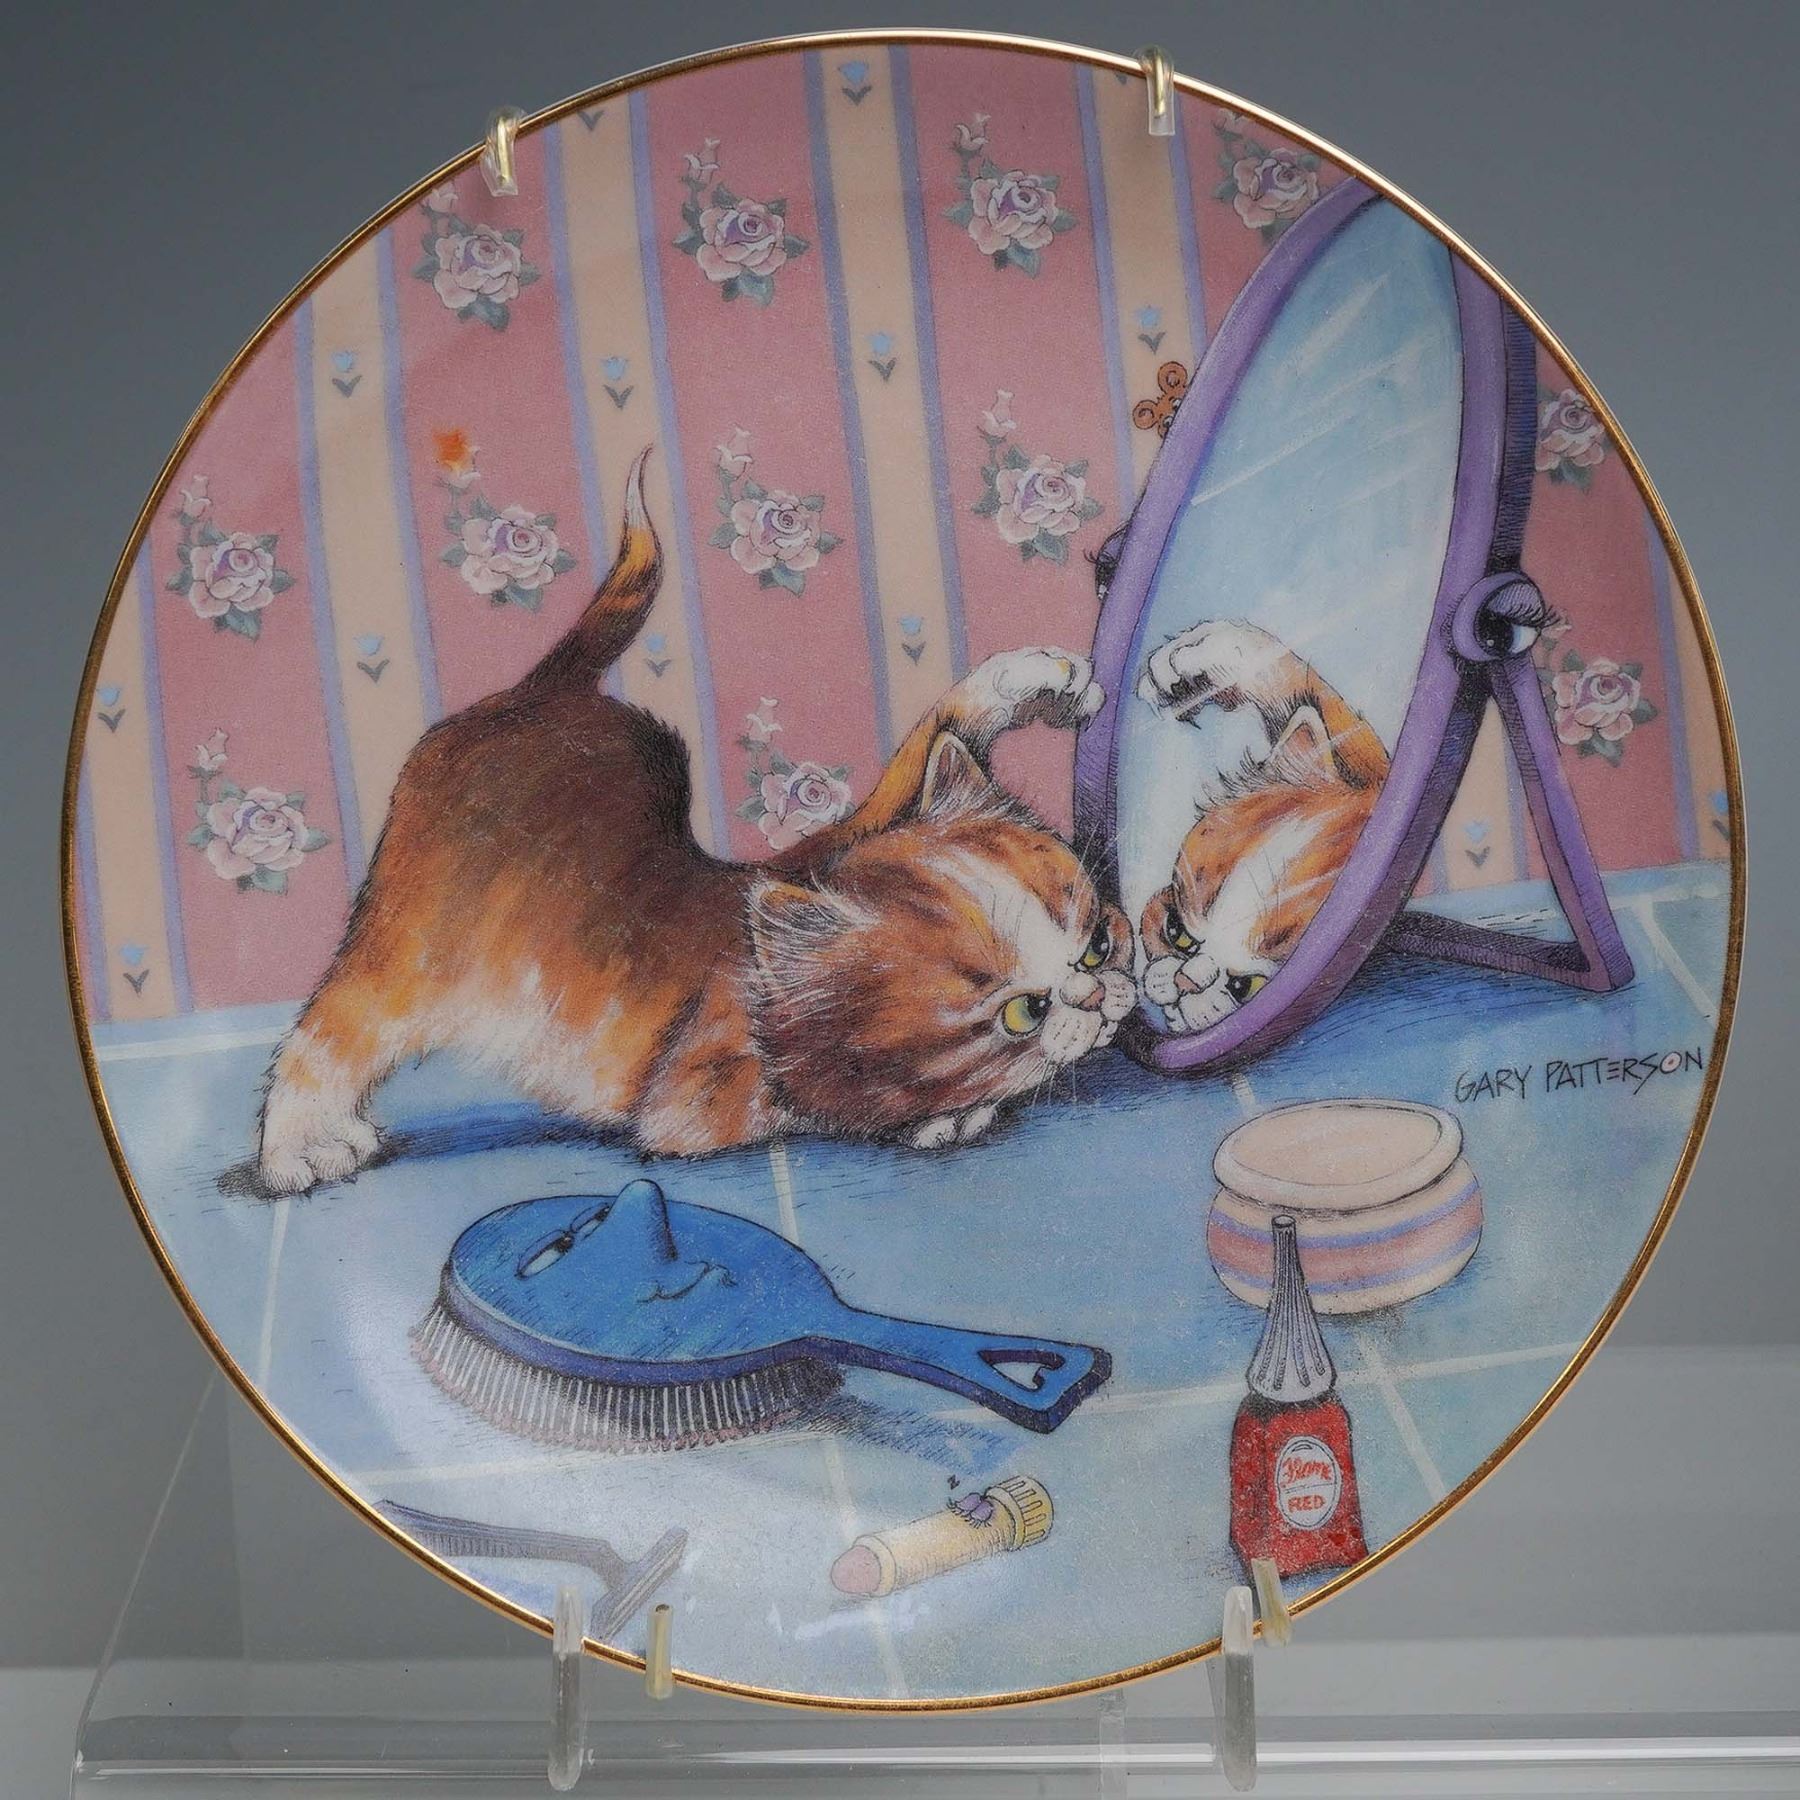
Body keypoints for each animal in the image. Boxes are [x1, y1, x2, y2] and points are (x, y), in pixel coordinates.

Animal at [256, 450, 1135, 1192]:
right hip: (414, 949)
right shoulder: (694, 1096)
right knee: (332, 1028)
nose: (1097, 994)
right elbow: (807, 1102)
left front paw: (1038, 681)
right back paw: (300, 1148)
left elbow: (928, 733)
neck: (764, 976)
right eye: (1022, 1013)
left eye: (1100, 943)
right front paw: (946, 1111)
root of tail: (541, 692)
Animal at [1134, 619, 1391, 1034]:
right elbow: (1306, 689)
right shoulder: (1367, 766)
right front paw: (1195, 659)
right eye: (1176, 932)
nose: (1185, 982)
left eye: (1243, 986)